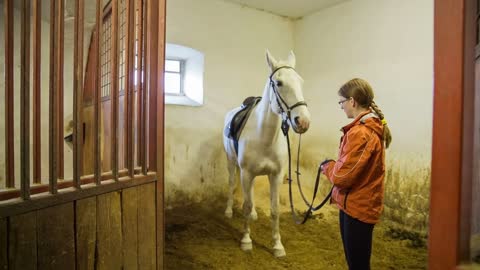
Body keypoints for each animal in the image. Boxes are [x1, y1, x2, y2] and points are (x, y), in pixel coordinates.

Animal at [222, 50, 310, 258]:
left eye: (300, 81)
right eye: (279, 83)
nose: (303, 121)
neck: (264, 136)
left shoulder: (275, 175)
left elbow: (275, 209)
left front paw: (277, 245)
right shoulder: (246, 173)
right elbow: (245, 206)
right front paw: (246, 241)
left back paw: (254, 214)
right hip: (232, 162)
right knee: (231, 183)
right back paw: (228, 211)